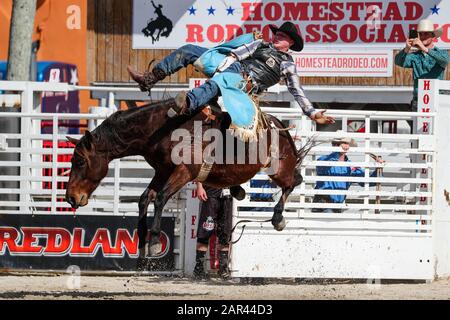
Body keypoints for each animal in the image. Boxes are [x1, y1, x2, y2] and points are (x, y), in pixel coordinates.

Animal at [65, 100, 312, 260]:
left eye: (80, 161)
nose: (70, 197)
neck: (162, 129)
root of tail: (277, 124)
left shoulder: (183, 172)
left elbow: (161, 198)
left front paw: (155, 241)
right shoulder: (162, 171)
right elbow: (145, 199)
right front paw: (142, 241)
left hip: (279, 170)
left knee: (294, 181)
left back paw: (277, 218)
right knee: (295, 180)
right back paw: (239, 192)